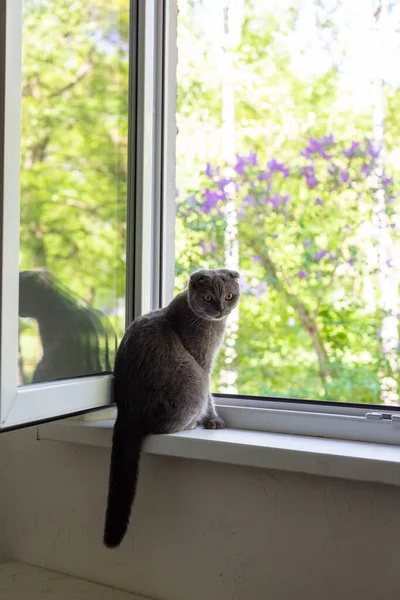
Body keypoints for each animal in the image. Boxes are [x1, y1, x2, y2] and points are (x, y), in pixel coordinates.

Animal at [104, 268, 241, 548]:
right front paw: (213, 420)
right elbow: (211, 394)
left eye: (229, 296)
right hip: (192, 379)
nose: (221, 308)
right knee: (164, 426)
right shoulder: (204, 363)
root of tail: (127, 412)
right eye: (208, 297)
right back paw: (192, 423)